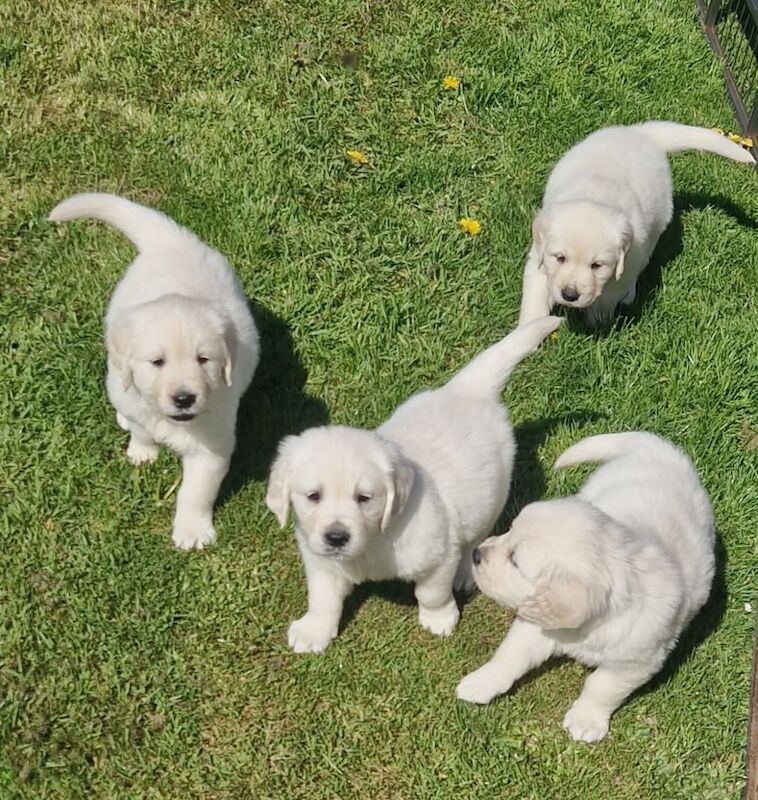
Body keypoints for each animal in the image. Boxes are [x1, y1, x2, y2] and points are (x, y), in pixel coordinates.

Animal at [49, 192, 262, 552]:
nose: (184, 398)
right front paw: (143, 452)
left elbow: (195, 491)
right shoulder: (135, 400)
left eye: (204, 360)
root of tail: (172, 239)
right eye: (157, 362)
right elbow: (142, 429)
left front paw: (192, 531)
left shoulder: (211, 445)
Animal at [268, 316, 564, 652]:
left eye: (364, 498)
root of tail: (467, 389)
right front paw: (314, 630)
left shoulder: (438, 553)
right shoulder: (321, 560)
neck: (374, 540)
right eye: (313, 496)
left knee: (477, 538)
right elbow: (322, 597)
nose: (337, 537)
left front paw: (439, 617)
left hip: (490, 496)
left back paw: (466, 572)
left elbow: (431, 592)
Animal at [458, 432, 720, 744]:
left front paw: (586, 719)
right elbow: (510, 655)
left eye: (516, 561)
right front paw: (481, 682)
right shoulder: (537, 626)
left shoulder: (635, 662)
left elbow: (601, 687)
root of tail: (660, 450)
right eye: (509, 529)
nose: (476, 554)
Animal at [520, 120, 756, 326]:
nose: (570, 295)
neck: (595, 195)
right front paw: (530, 330)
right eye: (560, 258)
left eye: (597, 265)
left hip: (655, 229)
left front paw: (596, 323)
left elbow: (607, 296)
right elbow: (535, 298)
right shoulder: (539, 259)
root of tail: (643, 133)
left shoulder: (627, 263)